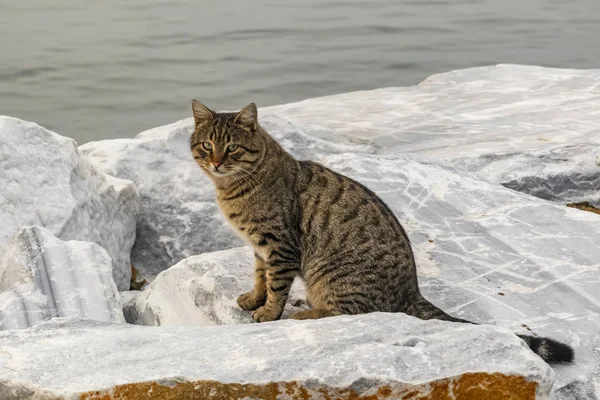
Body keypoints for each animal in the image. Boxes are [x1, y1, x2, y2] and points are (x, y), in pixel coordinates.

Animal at [191, 99, 572, 362]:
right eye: (207, 145)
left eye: (232, 147)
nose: (216, 162)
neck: (234, 187)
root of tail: (412, 292)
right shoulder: (260, 245)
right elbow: (260, 277)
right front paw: (253, 298)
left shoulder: (279, 245)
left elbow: (277, 285)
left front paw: (269, 312)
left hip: (331, 275)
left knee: (351, 312)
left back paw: (306, 313)